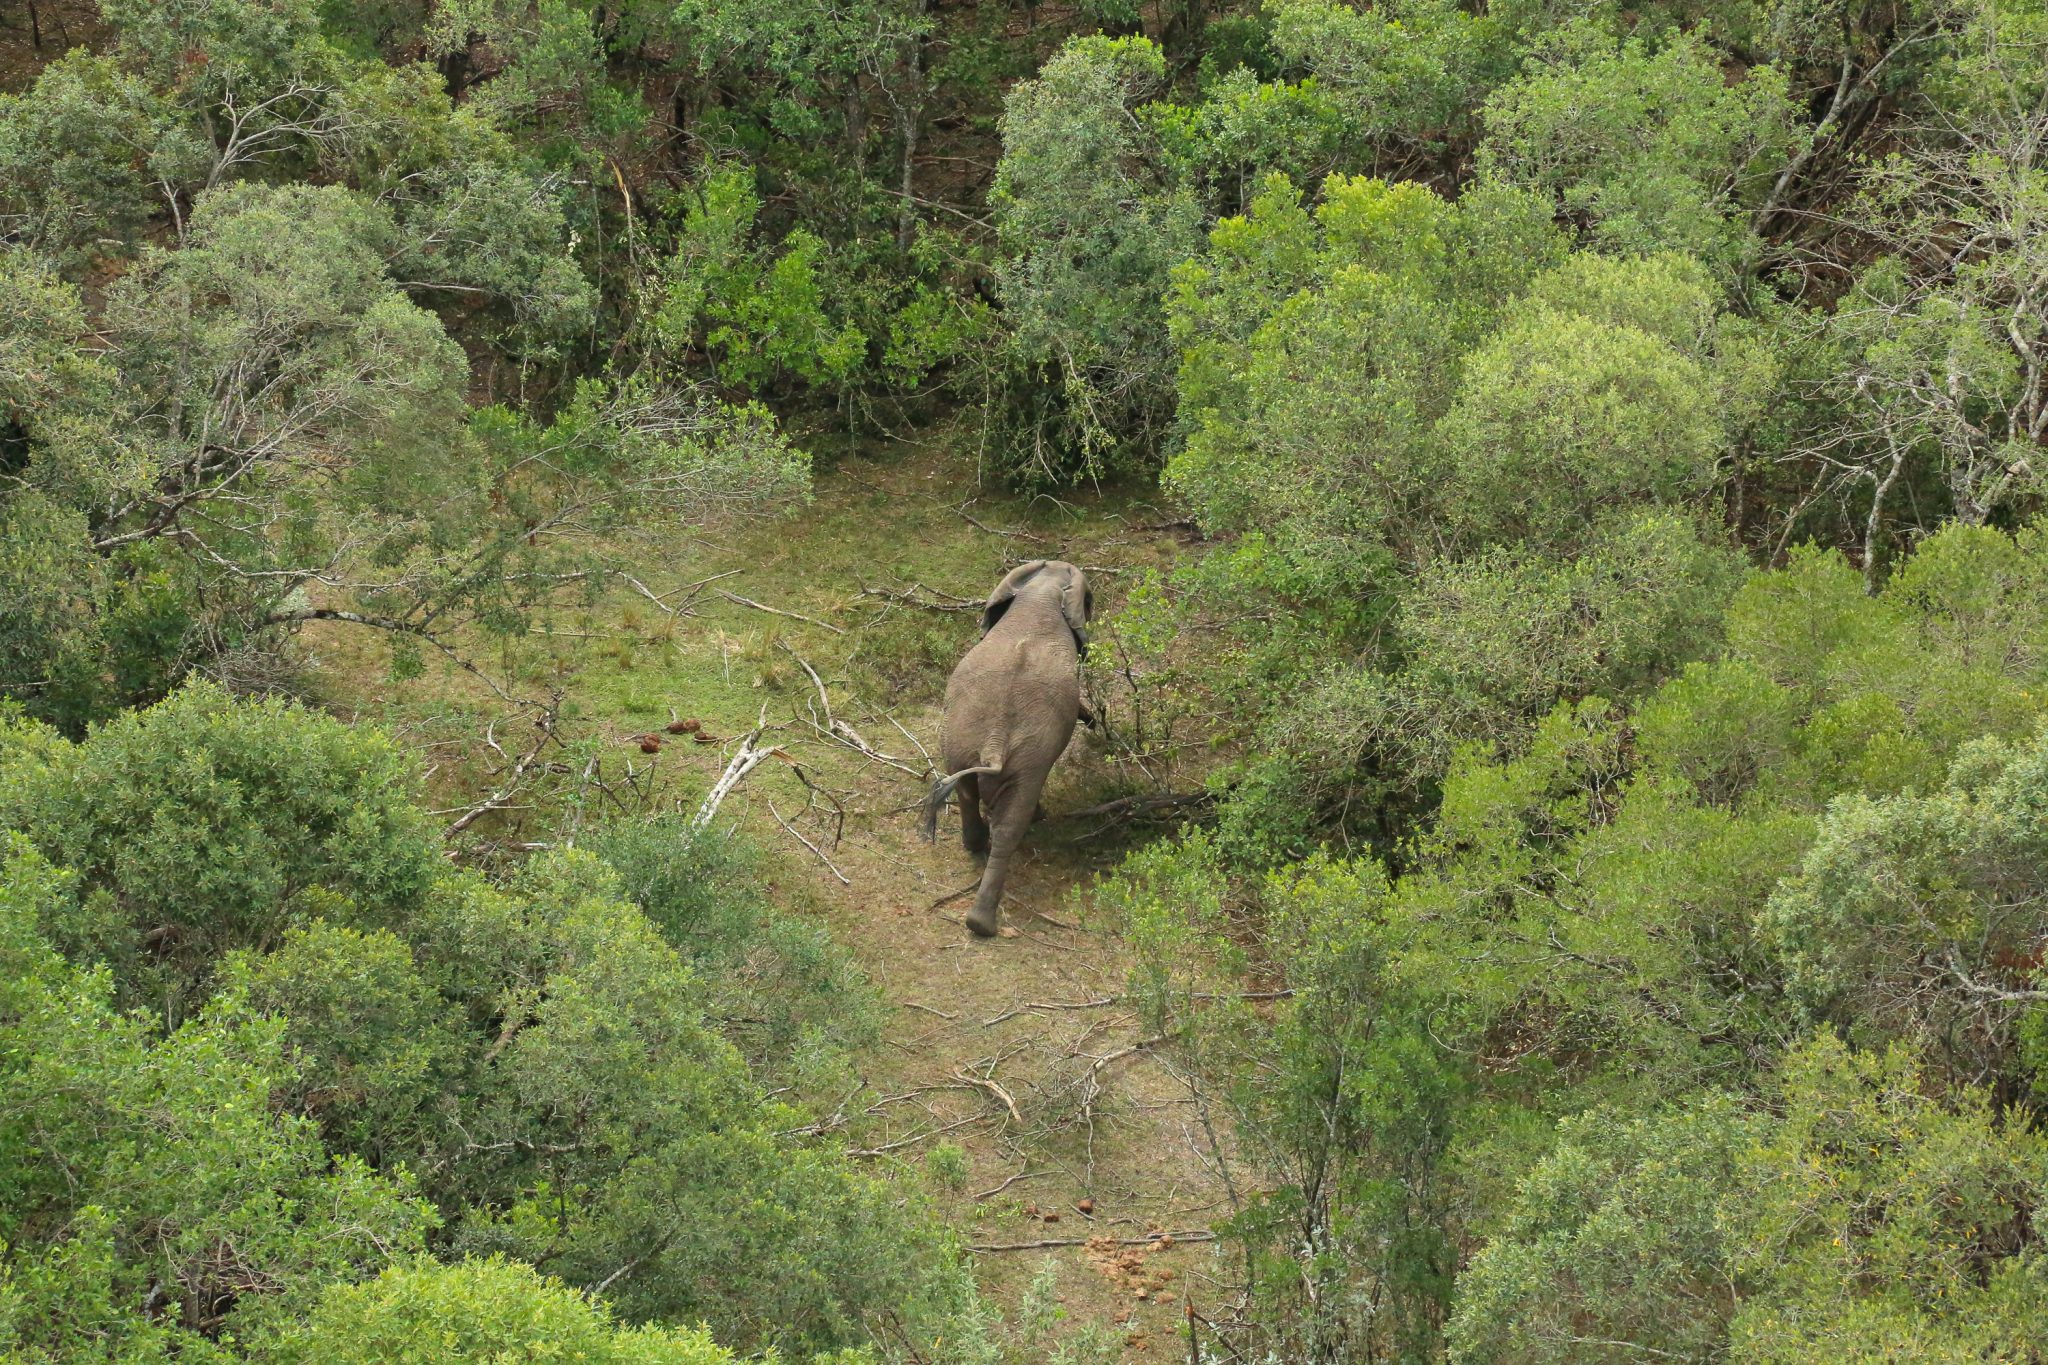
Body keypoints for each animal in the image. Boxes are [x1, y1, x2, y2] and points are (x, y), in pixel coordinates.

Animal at [920, 559, 1094, 937]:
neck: (1042, 591)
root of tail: (994, 743)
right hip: (1027, 761)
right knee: (1012, 824)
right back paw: (983, 923)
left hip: (959, 740)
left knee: (966, 792)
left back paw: (974, 848)